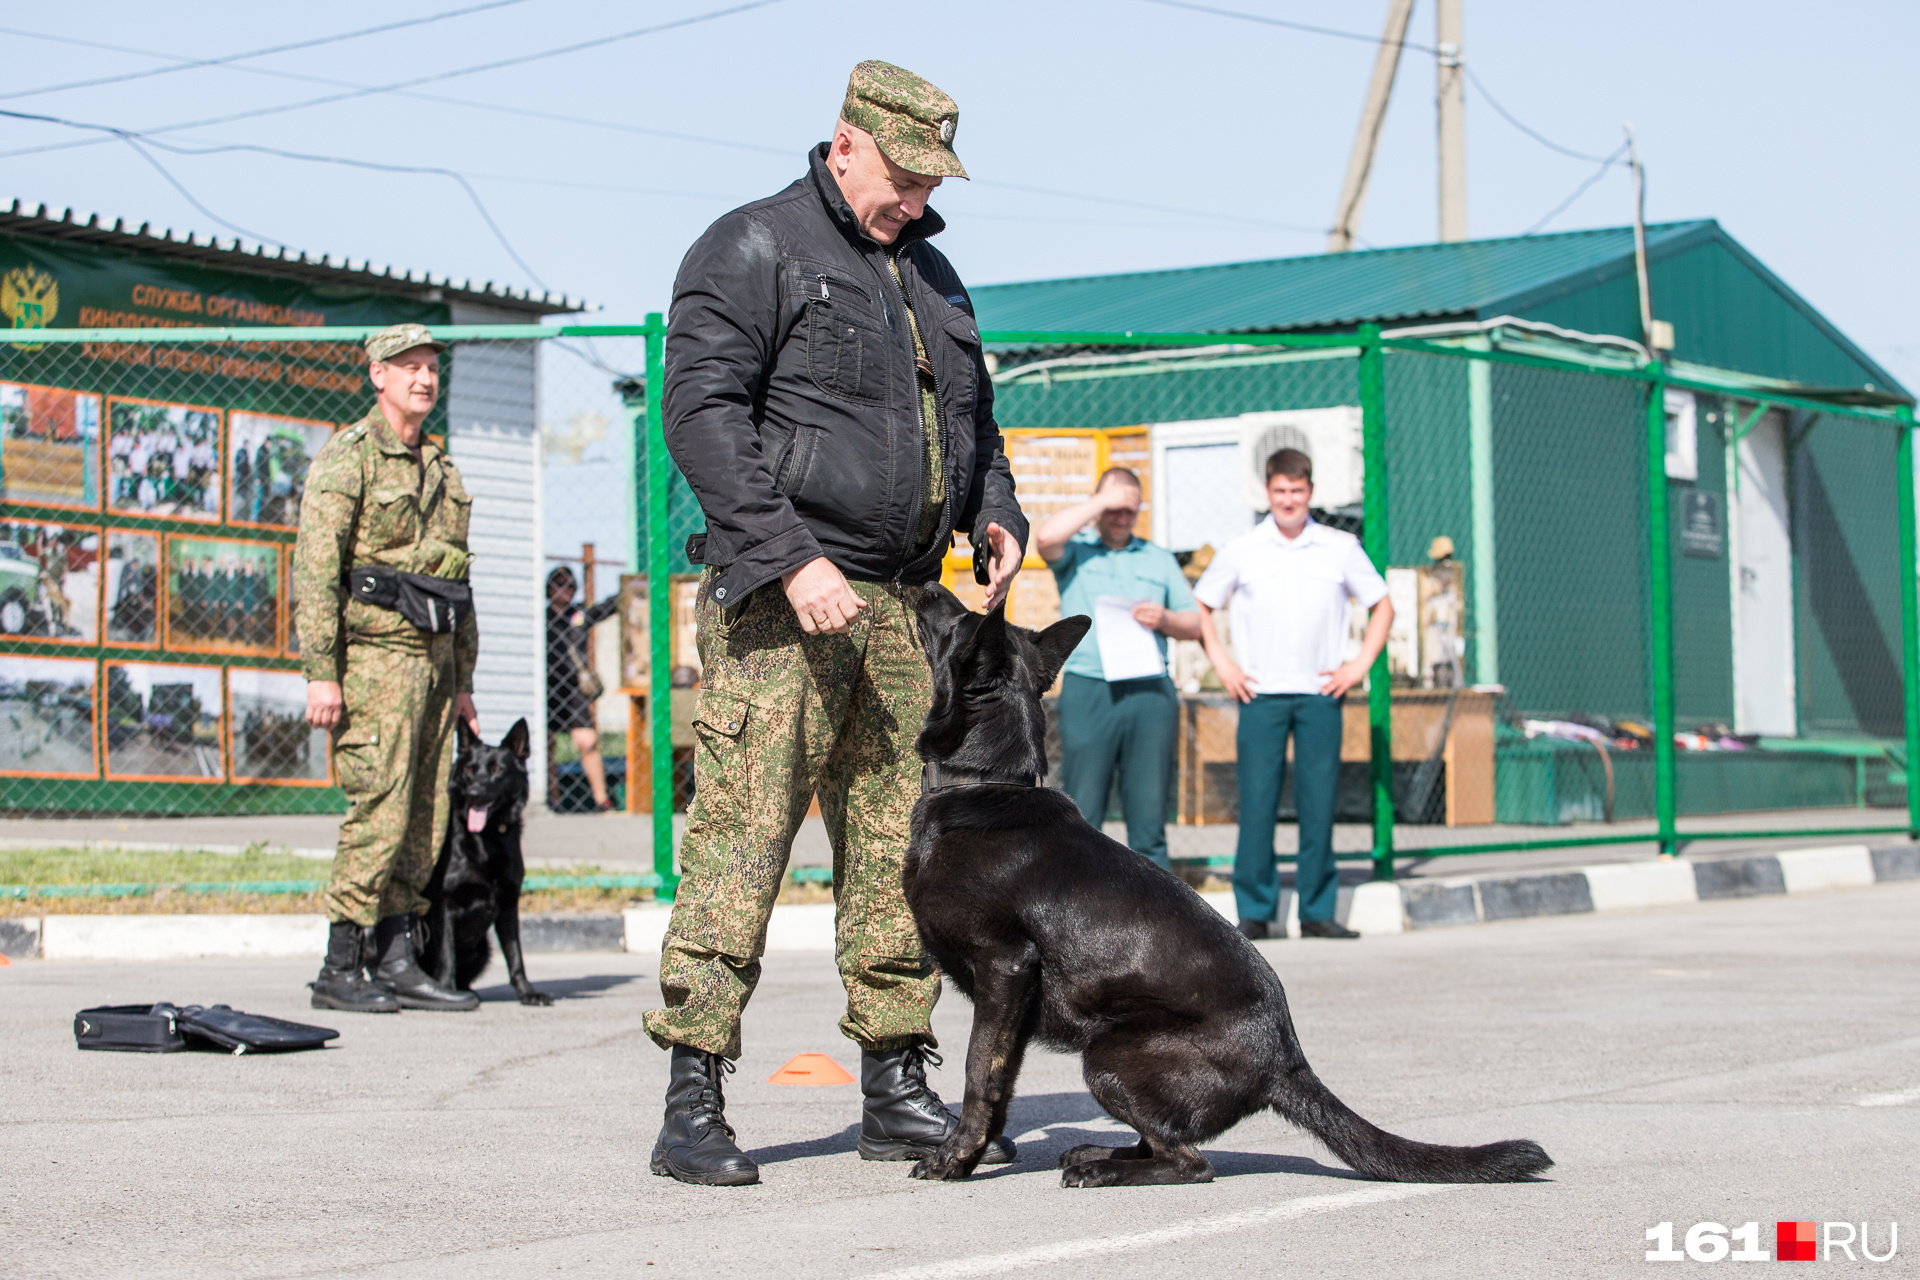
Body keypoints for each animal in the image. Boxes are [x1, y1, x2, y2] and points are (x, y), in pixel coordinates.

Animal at [416, 717, 545, 1005]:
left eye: (497, 769)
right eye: (470, 770)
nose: (474, 793)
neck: (487, 838)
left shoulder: (508, 903)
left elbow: (515, 955)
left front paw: (527, 993)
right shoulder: (445, 906)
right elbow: (447, 955)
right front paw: (447, 991)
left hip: (483, 948)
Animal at [906, 591, 1551, 1189]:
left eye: (960, 620)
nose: (927, 583)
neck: (983, 781)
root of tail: (1286, 1061)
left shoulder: (1004, 970)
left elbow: (978, 1073)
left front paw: (953, 1161)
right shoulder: (1012, 1001)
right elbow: (1000, 1082)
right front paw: (974, 1153)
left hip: (1107, 1056)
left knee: (1190, 1162)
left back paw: (1104, 1169)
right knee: (1161, 1143)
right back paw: (1100, 1153)